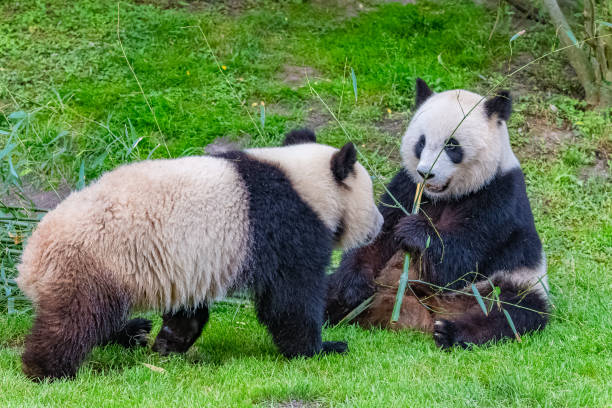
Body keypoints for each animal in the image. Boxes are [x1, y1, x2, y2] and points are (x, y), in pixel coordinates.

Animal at [16, 129, 382, 380]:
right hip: (90, 262)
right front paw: (322, 349)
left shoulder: (189, 261)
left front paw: (170, 341)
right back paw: (47, 370)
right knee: (75, 320)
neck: (303, 184)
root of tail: (27, 265)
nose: (380, 224)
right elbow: (290, 298)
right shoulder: (284, 225)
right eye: (372, 197)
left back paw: (134, 331)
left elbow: (189, 306)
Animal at [326, 79, 548, 348]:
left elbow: (462, 257)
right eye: (421, 142)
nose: (426, 173)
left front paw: (414, 232)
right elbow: (378, 235)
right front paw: (354, 286)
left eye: (452, 145)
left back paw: (450, 331)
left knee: (512, 312)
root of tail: (427, 313)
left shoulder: (499, 196)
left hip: (512, 283)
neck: (445, 196)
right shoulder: (406, 186)